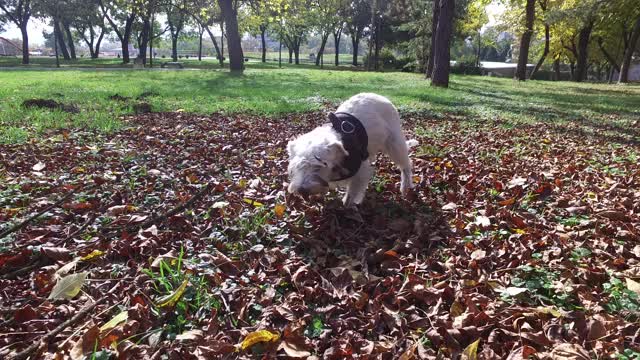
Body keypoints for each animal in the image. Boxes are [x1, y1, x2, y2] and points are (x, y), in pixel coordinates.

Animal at [286, 91, 418, 207]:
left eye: (318, 167)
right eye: (295, 168)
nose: (301, 190)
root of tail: (381, 96)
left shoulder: (360, 173)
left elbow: (351, 194)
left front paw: (348, 206)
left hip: (394, 144)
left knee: (406, 165)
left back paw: (405, 187)